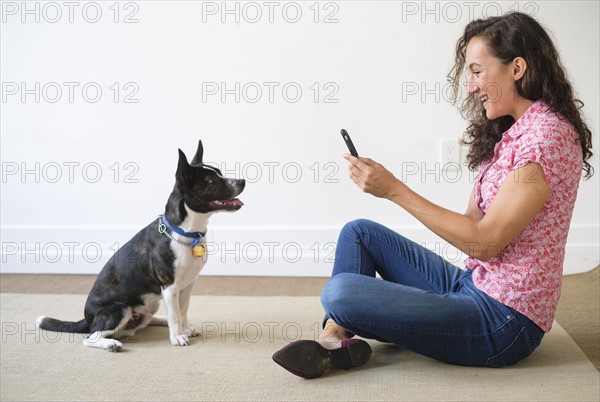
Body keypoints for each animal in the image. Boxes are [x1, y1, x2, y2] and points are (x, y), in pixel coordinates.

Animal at [37, 141, 244, 352]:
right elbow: (176, 315)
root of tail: (87, 319)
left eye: (219, 173)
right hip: (119, 309)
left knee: (150, 319)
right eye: (211, 181)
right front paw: (177, 337)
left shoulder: (188, 284)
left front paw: (184, 329)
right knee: (91, 337)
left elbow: (182, 310)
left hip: (148, 306)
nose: (242, 181)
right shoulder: (170, 286)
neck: (186, 233)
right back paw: (110, 343)